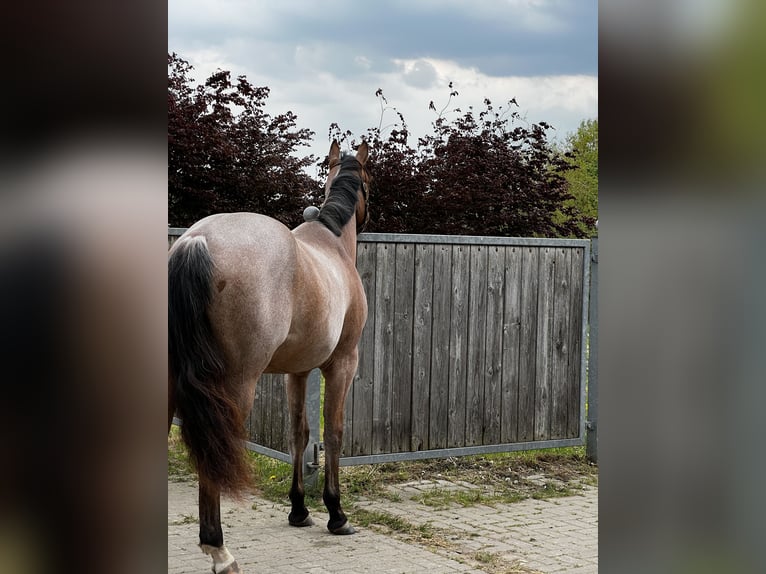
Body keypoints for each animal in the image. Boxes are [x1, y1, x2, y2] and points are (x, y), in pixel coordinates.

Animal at [168, 140, 370, 573]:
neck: (331, 247)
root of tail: (198, 239)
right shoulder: (342, 363)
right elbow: (334, 432)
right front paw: (336, 513)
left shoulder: (297, 371)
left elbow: (299, 434)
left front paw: (299, 510)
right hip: (237, 384)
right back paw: (219, 550)